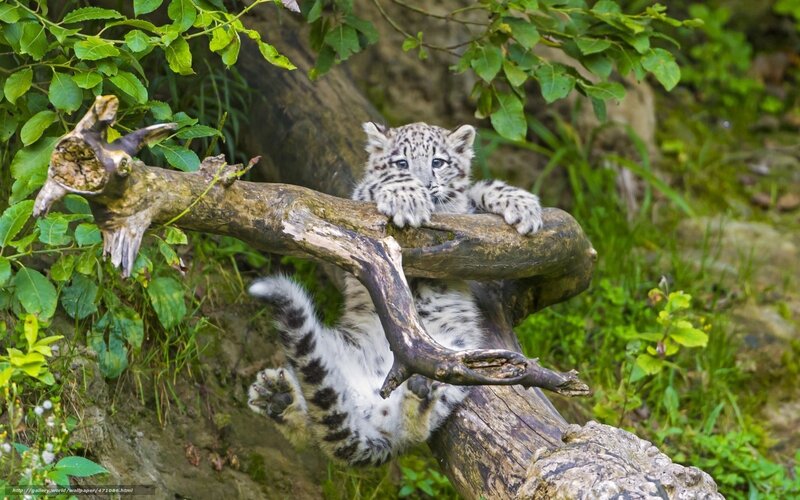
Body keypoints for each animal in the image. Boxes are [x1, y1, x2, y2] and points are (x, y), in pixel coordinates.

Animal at [247, 122, 543, 466]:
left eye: (438, 162)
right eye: (402, 163)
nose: (425, 185)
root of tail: (370, 395)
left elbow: (477, 191)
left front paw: (523, 205)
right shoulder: (357, 204)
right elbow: (374, 185)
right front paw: (407, 198)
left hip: (461, 363)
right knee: (330, 429)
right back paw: (278, 396)